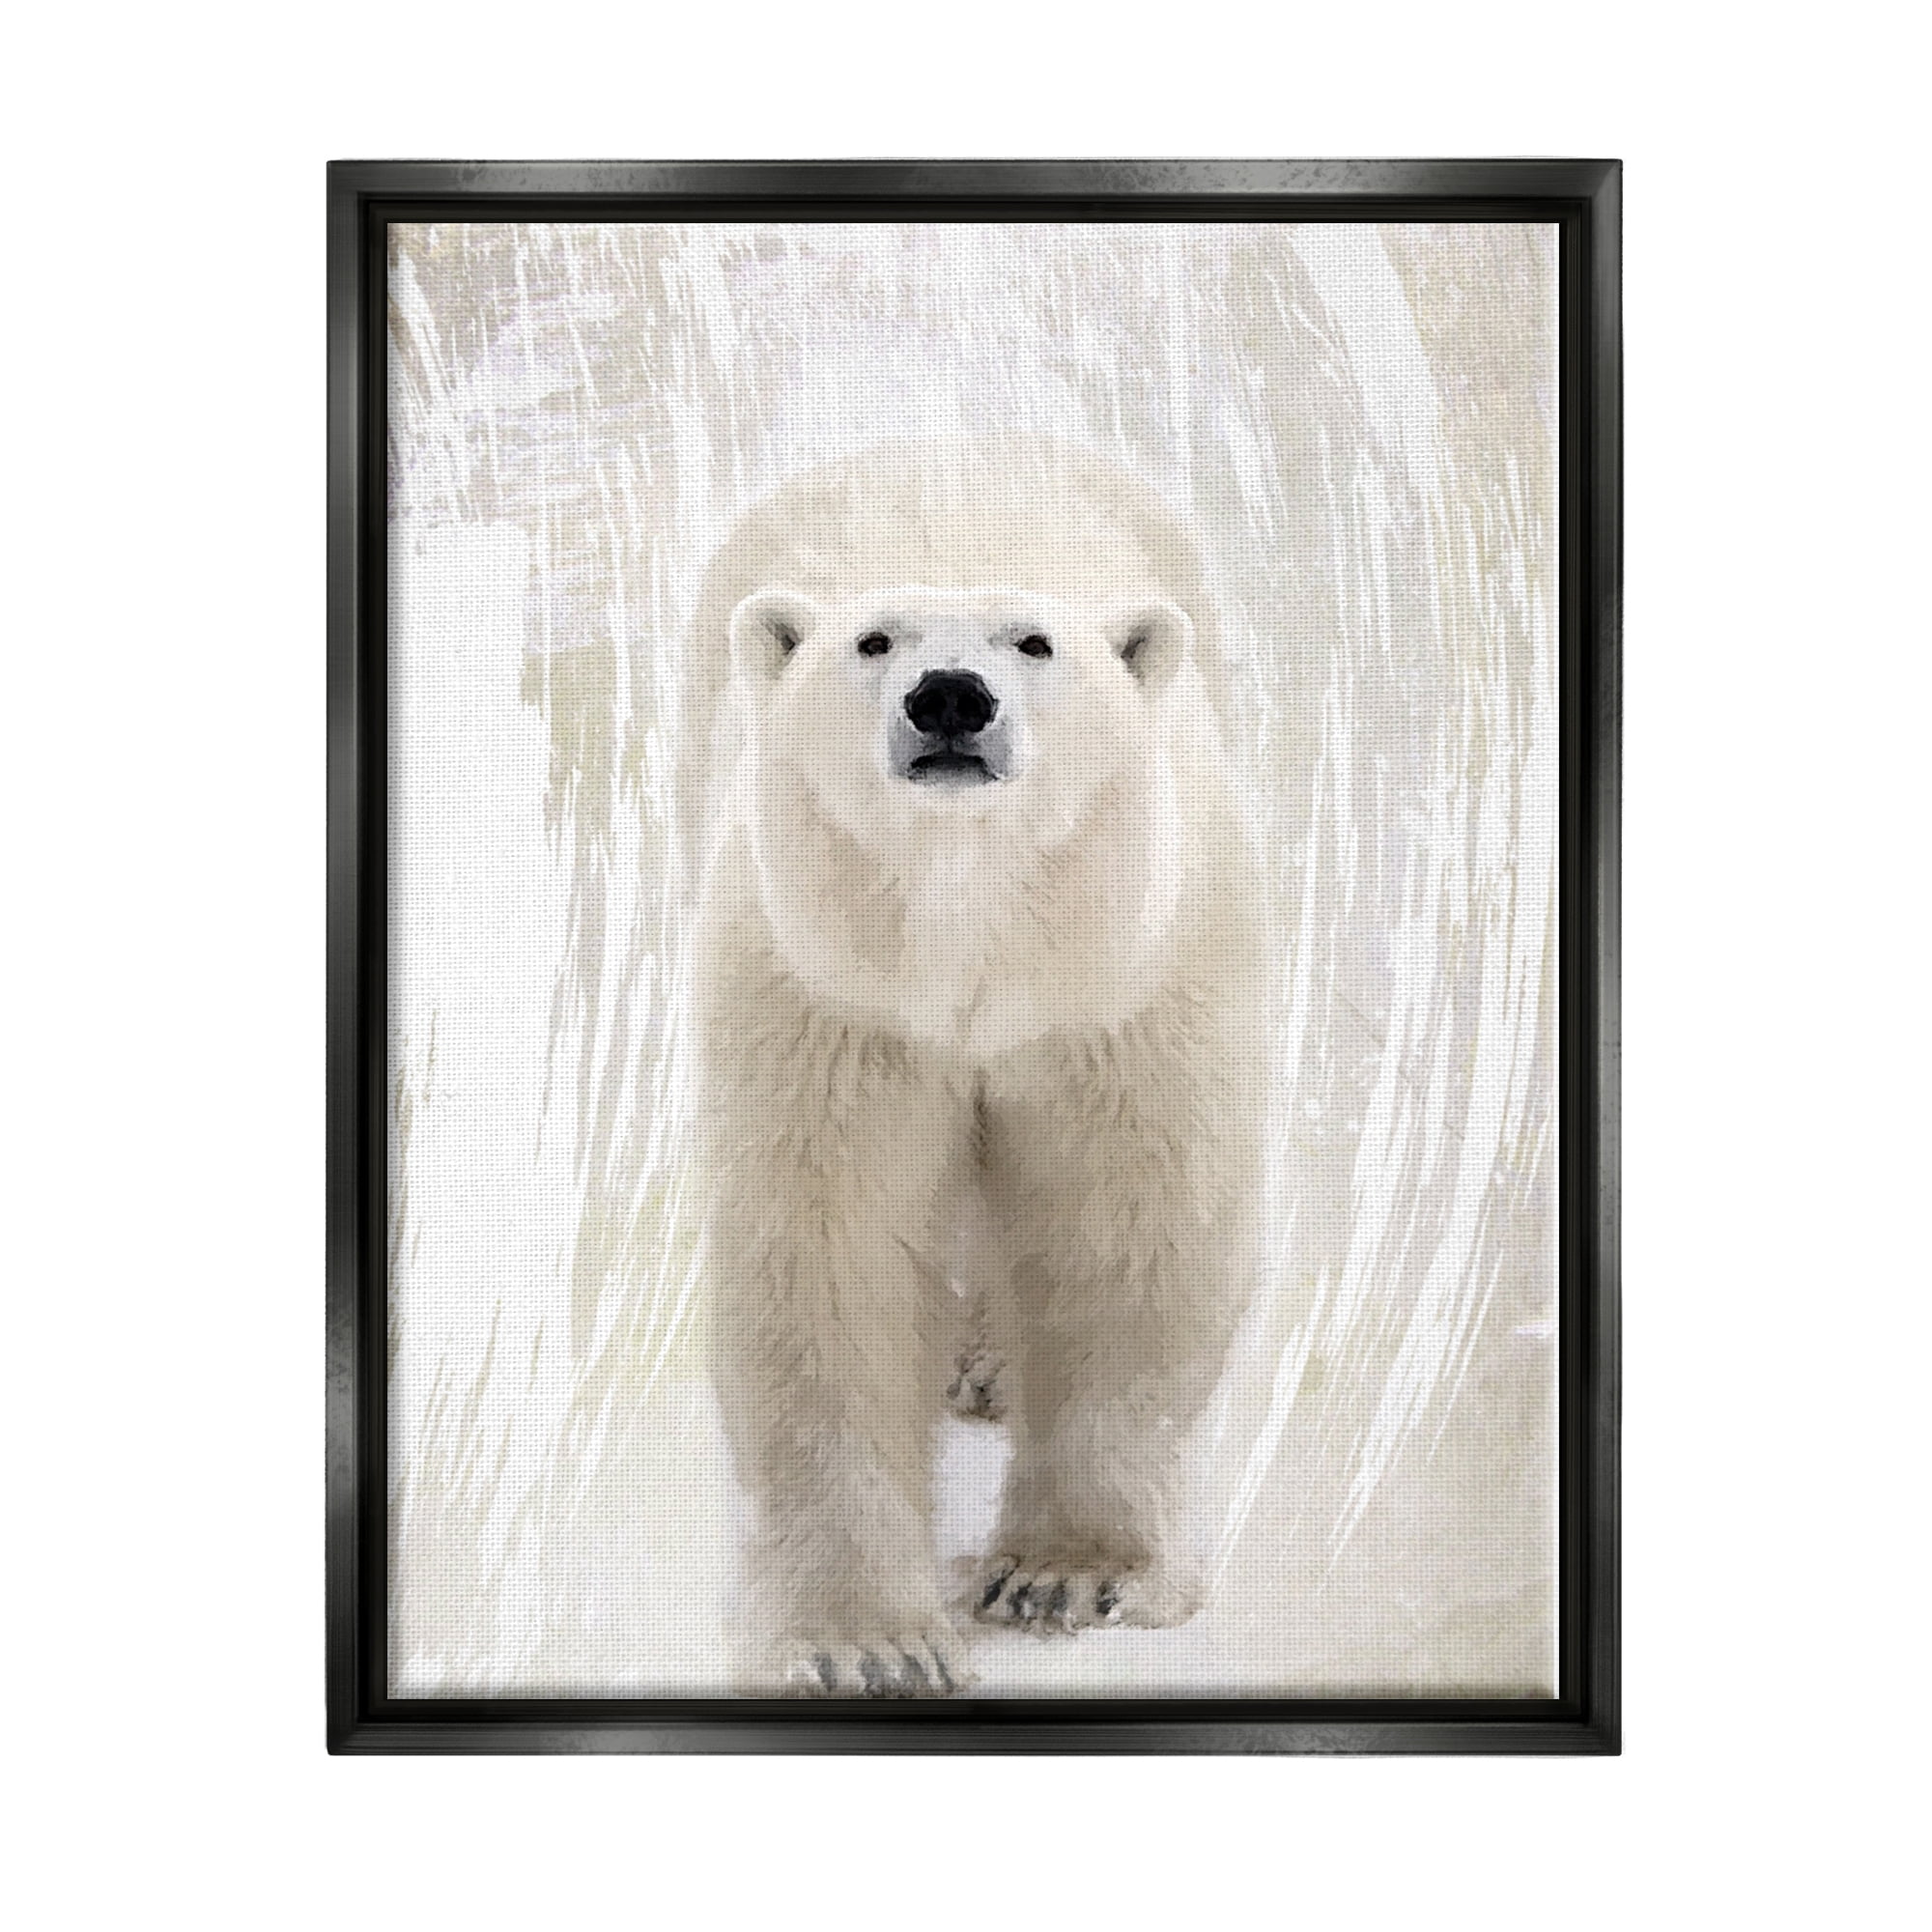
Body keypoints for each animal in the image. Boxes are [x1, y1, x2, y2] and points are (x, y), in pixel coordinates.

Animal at [681, 439, 1266, 1696]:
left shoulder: (1119, 985)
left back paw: (992, 1365)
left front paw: (1066, 1575)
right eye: (871, 639)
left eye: (1034, 642)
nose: (948, 695)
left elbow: (1120, 1223)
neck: (972, 934)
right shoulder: (829, 996)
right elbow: (831, 1249)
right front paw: (865, 1639)